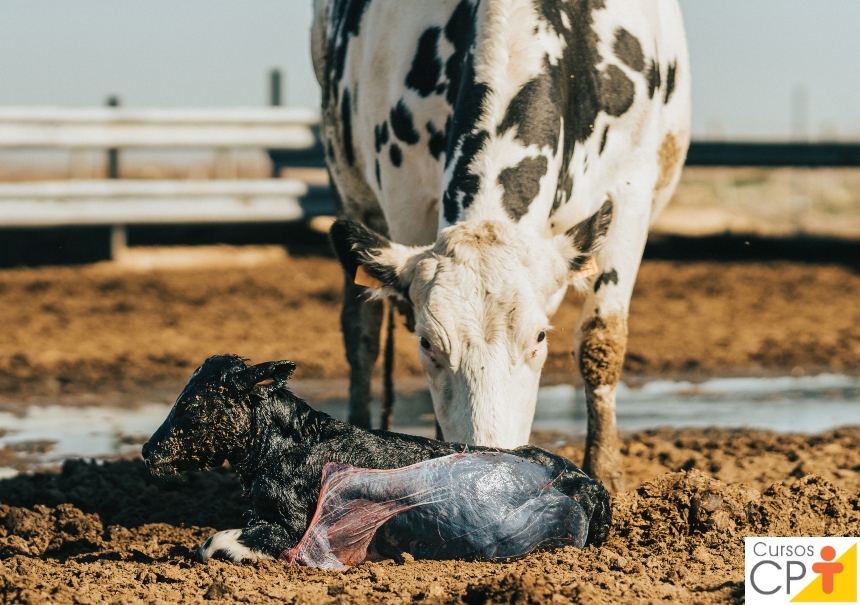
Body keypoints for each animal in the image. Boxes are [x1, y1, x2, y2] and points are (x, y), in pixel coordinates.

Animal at [314, 0, 692, 488]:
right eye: (427, 343)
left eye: (539, 337)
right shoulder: (405, 198)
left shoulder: (630, 189)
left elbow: (601, 340)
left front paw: (607, 471)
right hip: (348, 181)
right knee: (360, 332)